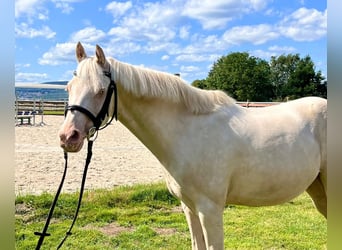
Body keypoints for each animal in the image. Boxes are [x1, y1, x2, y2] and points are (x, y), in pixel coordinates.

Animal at [59, 42, 328, 249]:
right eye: (69, 88)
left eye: (100, 91)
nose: (68, 137)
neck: (187, 132)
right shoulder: (189, 207)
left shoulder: (210, 210)